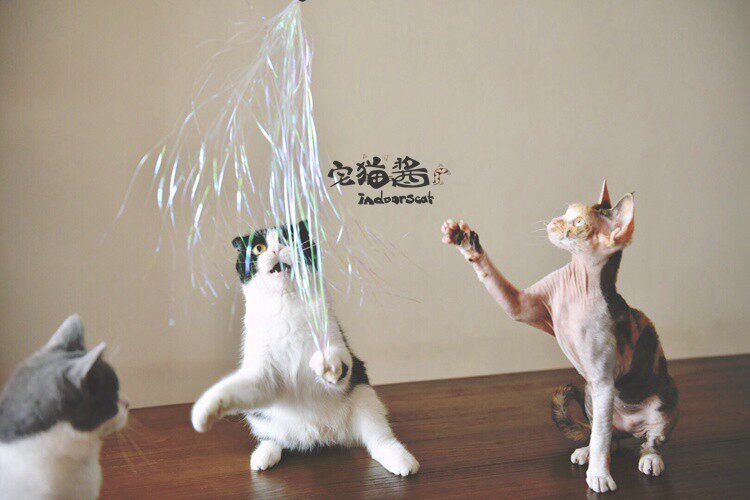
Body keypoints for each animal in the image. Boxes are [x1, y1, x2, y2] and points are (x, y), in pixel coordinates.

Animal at [190, 220, 419, 476]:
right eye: (259, 248)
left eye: (289, 238)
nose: (276, 249)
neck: (285, 304)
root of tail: (319, 435)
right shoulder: (262, 375)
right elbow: (236, 387)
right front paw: (205, 411)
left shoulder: (337, 343)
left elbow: (338, 365)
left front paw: (327, 364)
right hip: (260, 417)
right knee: (274, 438)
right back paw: (263, 455)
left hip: (364, 397)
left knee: (378, 438)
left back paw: (400, 460)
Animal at [442, 181, 678, 493]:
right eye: (565, 213)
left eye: (578, 222)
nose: (554, 221)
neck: (579, 284)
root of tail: (628, 428)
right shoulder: (520, 305)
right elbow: (494, 279)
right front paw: (466, 241)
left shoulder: (603, 380)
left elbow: (602, 437)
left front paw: (599, 476)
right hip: (590, 396)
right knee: (607, 435)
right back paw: (588, 451)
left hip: (658, 403)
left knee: (641, 439)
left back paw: (649, 459)